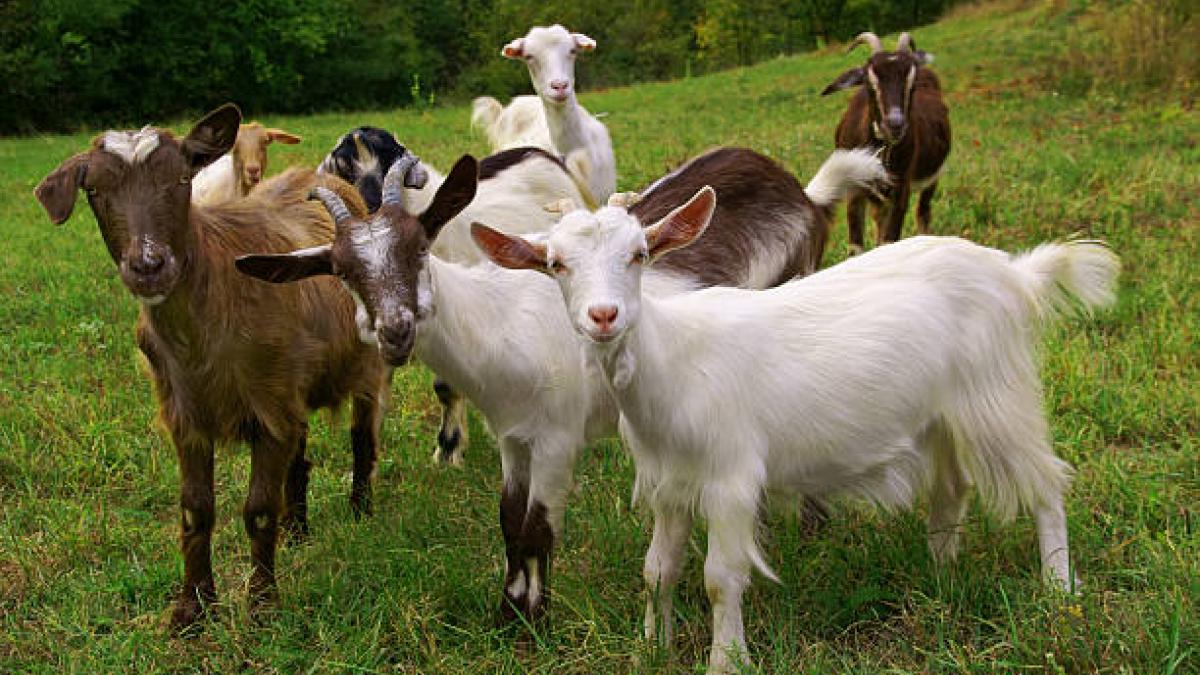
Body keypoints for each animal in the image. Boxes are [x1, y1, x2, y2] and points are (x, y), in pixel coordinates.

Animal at [33, 104, 388, 632]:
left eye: (183, 179)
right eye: (93, 190)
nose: (149, 266)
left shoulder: (268, 405)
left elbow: (258, 509)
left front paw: (262, 606)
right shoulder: (187, 413)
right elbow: (195, 510)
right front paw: (192, 609)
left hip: (364, 364)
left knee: (362, 436)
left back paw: (362, 511)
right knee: (300, 456)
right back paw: (297, 530)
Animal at [318, 127, 598, 465]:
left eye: (389, 162)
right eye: (344, 171)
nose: (371, 215)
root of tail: (544, 154)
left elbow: (445, 387)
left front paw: (448, 450)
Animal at [477, 189, 1118, 672]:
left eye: (639, 253)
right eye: (556, 264)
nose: (604, 316)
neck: (672, 363)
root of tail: (1013, 273)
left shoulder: (731, 477)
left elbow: (720, 577)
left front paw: (727, 661)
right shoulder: (668, 483)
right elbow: (658, 571)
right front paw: (649, 648)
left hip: (996, 393)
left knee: (1046, 483)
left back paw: (1058, 589)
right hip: (941, 413)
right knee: (953, 487)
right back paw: (941, 575)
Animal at [821, 31, 951, 254]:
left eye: (912, 86)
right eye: (869, 83)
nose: (895, 125)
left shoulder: (901, 188)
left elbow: (889, 240)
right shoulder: (855, 191)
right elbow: (856, 246)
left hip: (932, 178)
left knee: (923, 212)